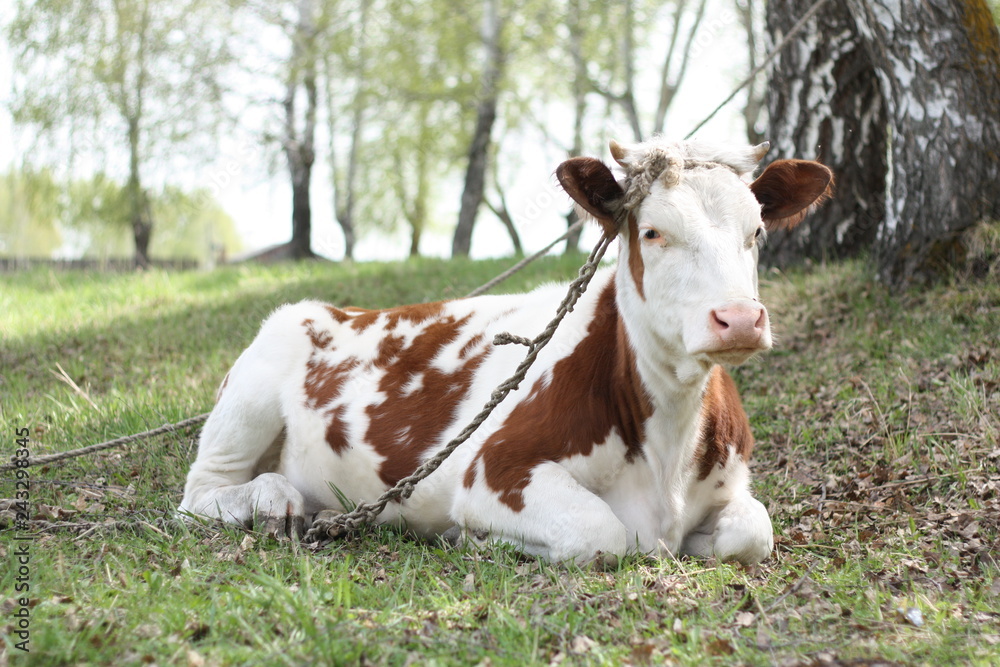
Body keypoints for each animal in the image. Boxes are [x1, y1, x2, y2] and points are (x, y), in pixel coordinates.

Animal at [178, 137, 832, 565]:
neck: (667, 438)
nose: (739, 318)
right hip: (250, 395)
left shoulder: (731, 486)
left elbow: (752, 533)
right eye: (652, 232)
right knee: (199, 495)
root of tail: (327, 307)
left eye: (756, 231)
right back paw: (275, 500)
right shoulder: (492, 472)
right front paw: (476, 539)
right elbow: (603, 535)